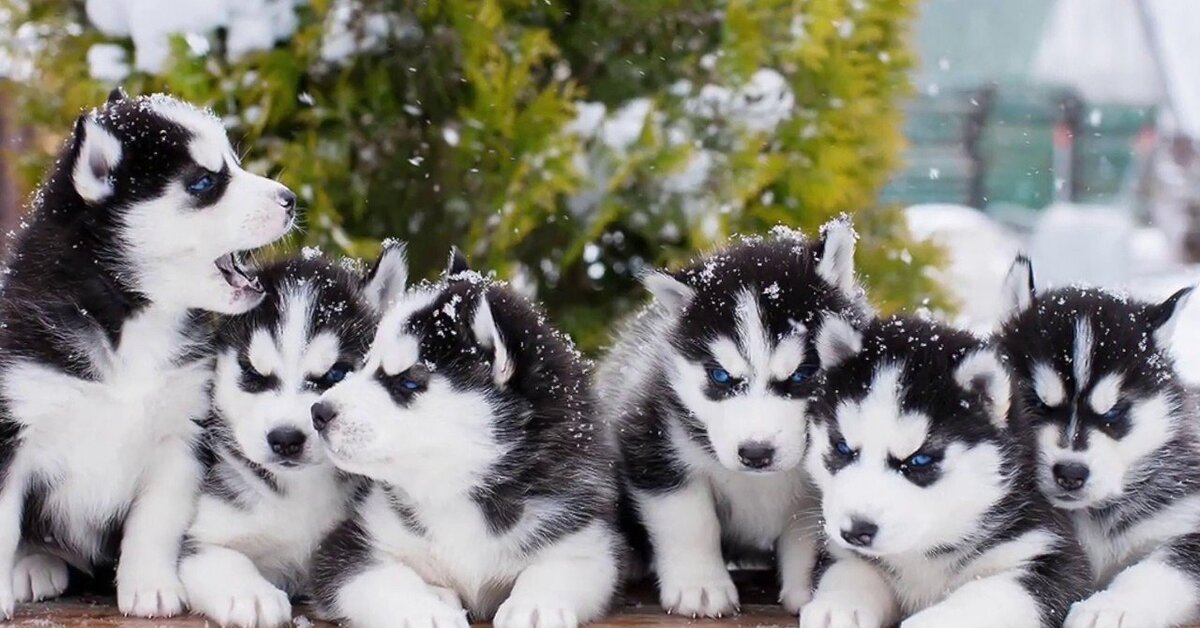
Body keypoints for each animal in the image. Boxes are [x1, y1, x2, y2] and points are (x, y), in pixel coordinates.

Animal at [175, 249, 405, 628]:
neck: (300, 492)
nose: (285, 439)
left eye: (335, 374)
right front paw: (250, 595)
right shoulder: (203, 534)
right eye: (253, 373)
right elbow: (220, 555)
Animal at [309, 253, 624, 628]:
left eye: (407, 383)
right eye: (366, 365)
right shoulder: (349, 543)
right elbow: (385, 579)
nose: (319, 412)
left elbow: (557, 570)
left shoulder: (585, 536)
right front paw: (424, 611)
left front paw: (535, 605)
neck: (455, 492)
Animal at [604, 218, 868, 614]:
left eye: (802, 375)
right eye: (720, 376)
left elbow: (806, 533)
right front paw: (699, 586)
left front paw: (809, 588)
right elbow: (688, 521)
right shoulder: (651, 436)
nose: (755, 453)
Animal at [801, 317, 1094, 624]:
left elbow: (992, 594)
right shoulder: (842, 551)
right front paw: (836, 608)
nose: (856, 530)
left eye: (919, 460)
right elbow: (849, 570)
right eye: (843, 447)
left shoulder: (1046, 550)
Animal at [993, 255, 1200, 628]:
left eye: (1114, 412)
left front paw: (1110, 607)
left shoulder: (1186, 516)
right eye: (1035, 403)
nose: (1071, 473)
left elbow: (1160, 569)